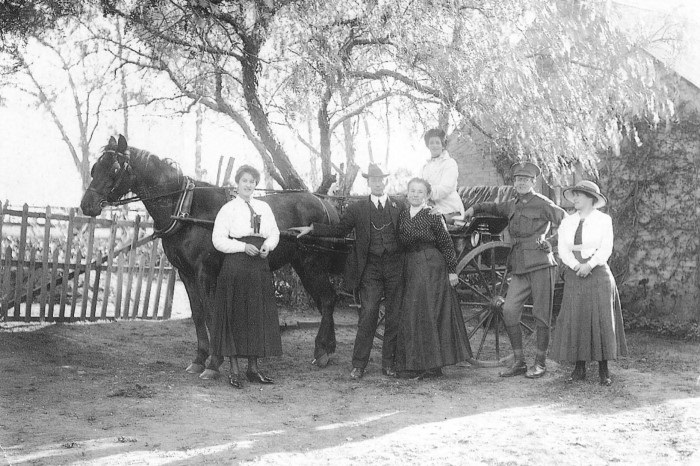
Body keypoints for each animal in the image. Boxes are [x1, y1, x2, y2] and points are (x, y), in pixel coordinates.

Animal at [80, 136, 344, 378]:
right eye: (95, 167)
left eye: (114, 169)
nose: (87, 205)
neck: (186, 209)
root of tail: (326, 204)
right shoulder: (186, 274)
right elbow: (198, 315)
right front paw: (199, 359)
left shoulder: (204, 272)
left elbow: (209, 314)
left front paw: (214, 362)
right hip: (303, 266)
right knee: (325, 301)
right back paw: (327, 349)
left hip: (312, 265)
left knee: (328, 299)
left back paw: (322, 351)